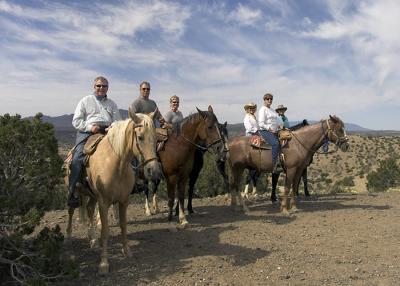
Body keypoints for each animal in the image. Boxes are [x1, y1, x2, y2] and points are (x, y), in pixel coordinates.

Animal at [65, 110, 161, 274]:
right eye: (140, 137)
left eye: (155, 138)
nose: (152, 170)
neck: (116, 164)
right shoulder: (104, 203)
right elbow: (105, 230)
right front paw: (104, 263)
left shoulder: (124, 201)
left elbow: (123, 225)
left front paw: (127, 251)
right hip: (75, 192)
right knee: (71, 213)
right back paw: (69, 244)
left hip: (92, 195)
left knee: (89, 209)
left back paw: (92, 240)